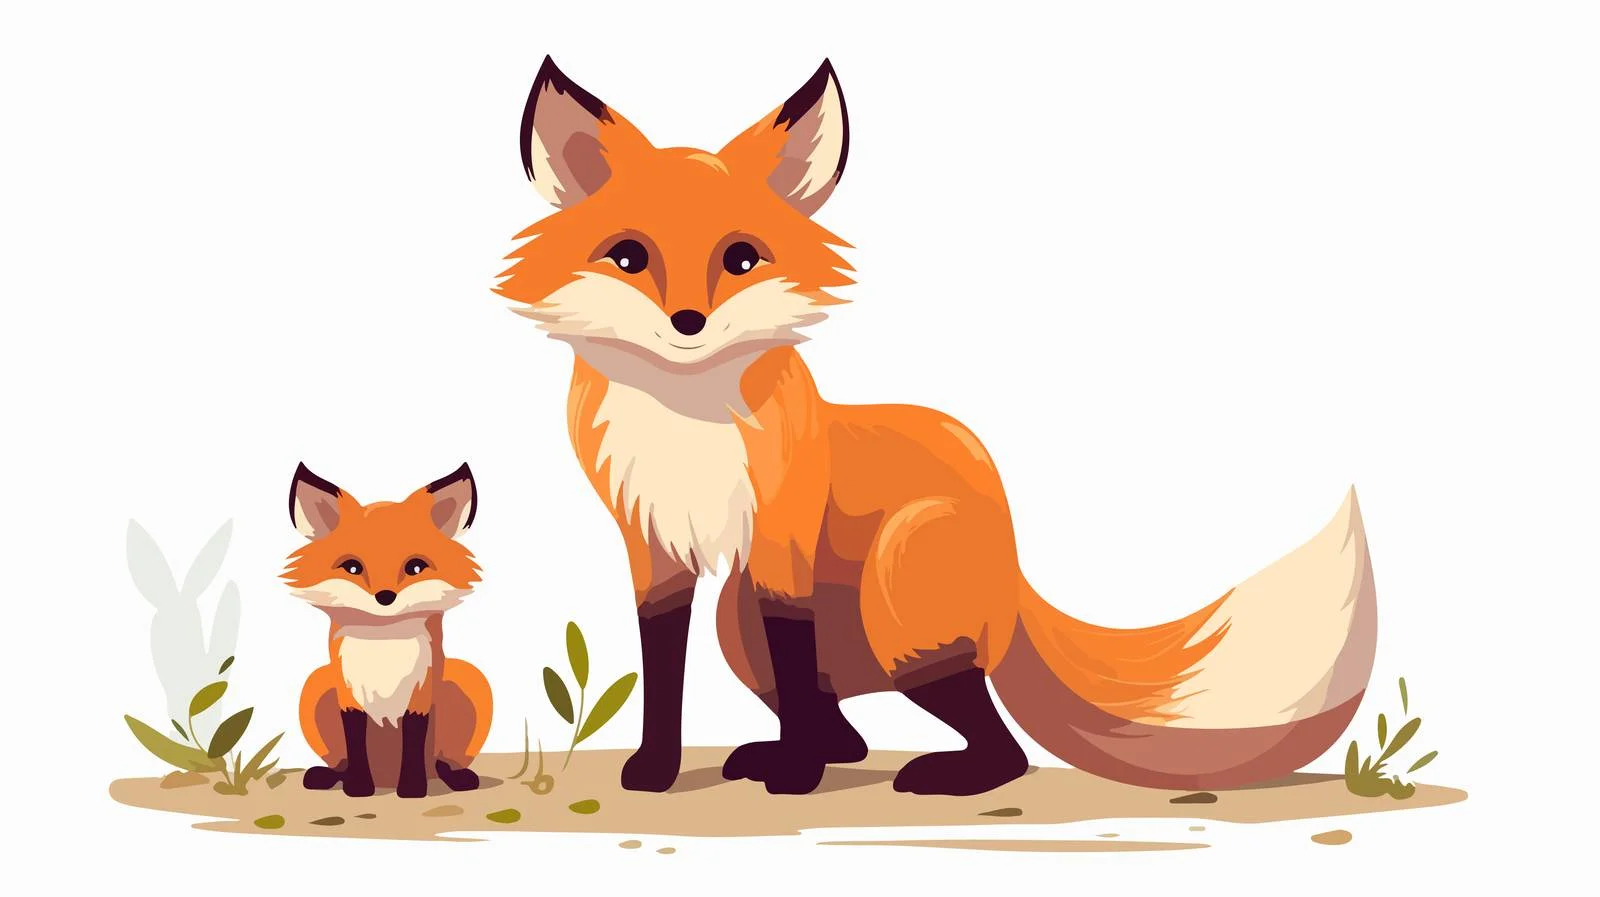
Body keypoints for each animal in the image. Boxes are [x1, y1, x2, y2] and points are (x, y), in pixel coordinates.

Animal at [284, 462, 493, 798]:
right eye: (352, 568)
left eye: (416, 567)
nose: (385, 597)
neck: (383, 642)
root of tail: (386, 777)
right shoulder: (347, 692)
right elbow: (355, 741)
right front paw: (358, 786)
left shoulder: (421, 692)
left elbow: (414, 738)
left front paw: (412, 788)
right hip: (316, 684)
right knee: (340, 761)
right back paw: (329, 776)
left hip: (468, 682)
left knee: (440, 764)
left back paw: (455, 777)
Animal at [495, 57, 1378, 796]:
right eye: (629, 257)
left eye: (741, 259)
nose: (687, 322)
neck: (686, 422)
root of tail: (1011, 553)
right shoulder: (652, 548)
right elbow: (662, 665)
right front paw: (660, 769)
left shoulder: (781, 542)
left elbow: (789, 652)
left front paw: (798, 779)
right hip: (736, 617)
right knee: (837, 719)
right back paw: (794, 751)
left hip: (894, 603)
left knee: (998, 744)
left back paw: (933, 772)